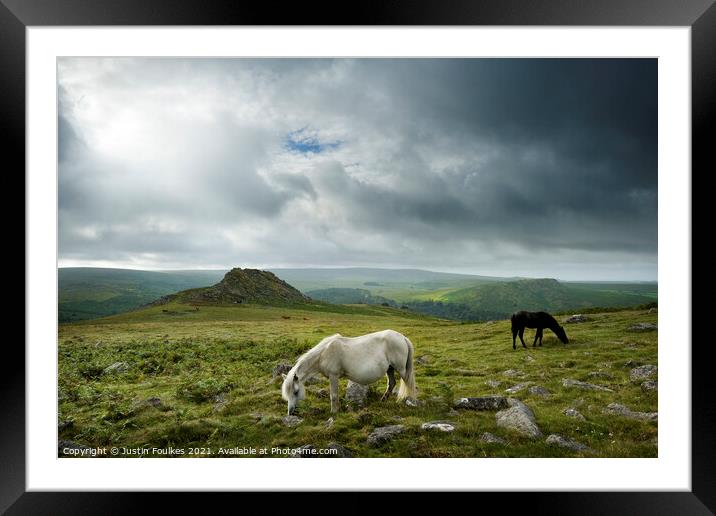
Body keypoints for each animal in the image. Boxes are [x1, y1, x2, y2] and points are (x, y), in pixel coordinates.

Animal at [282, 330, 416, 416]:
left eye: (296, 392)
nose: (291, 413)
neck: (324, 353)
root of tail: (402, 337)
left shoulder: (333, 376)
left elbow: (333, 395)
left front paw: (334, 412)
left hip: (401, 369)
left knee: (408, 383)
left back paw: (407, 401)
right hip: (390, 368)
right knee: (391, 383)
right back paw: (383, 400)